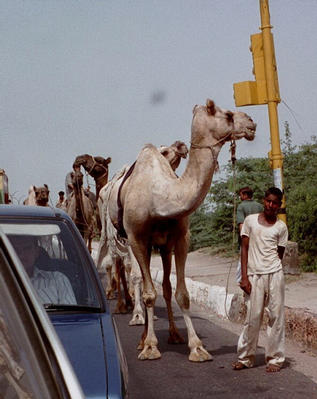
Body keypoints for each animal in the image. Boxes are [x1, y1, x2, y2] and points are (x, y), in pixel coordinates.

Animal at [106, 99, 256, 362]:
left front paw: (196, 347)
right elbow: (148, 293)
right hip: (133, 242)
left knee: (165, 287)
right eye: (227, 114)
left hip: (163, 247)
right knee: (142, 281)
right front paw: (150, 347)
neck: (160, 197)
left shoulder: (180, 238)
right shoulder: (137, 238)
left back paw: (174, 334)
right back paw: (143, 338)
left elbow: (181, 294)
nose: (250, 122)